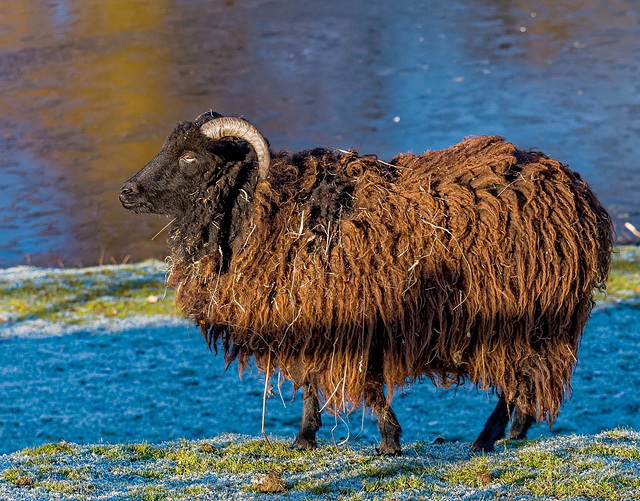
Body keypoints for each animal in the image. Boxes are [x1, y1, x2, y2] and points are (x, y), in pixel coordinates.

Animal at [120, 111, 616, 456]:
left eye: (190, 156)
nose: (126, 192)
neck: (266, 210)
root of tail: (578, 190)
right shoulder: (310, 317)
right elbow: (309, 379)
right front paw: (305, 438)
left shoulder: (361, 317)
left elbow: (369, 384)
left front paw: (389, 443)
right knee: (525, 381)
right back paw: (511, 432)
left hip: (527, 314)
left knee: (519, 377)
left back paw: (488, 437)